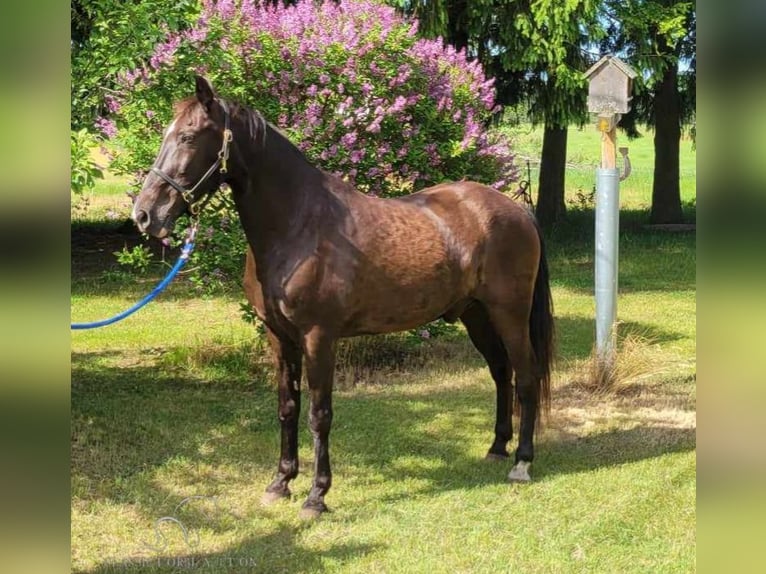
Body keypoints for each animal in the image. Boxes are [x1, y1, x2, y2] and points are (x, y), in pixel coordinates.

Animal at [132, 74, 552, 520]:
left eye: (188, 136)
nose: (144, 215)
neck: (299, 225)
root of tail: (517, 210)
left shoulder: (319, 337)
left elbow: (319, 414)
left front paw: (317, 495)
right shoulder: (279, 337)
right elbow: (287, 407)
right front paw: (281, 483)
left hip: (509, 314)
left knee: (526, 375)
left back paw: (522, 461)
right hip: (477, 315)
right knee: (501, 373)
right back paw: (497, 447)